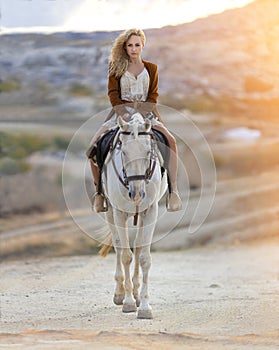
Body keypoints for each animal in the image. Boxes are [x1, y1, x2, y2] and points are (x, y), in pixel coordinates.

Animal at [100, 113, 167, 320]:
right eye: (123, 152)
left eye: (148, 152)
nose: (136, 194)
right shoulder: (119, 213)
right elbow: (125, 256)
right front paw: (128, 302)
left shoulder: (151, 212)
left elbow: (144, 258)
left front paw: (144, 306)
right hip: (110, 212)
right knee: (118, 246)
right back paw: (119, 294)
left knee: (137, 246)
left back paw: (137, 294)